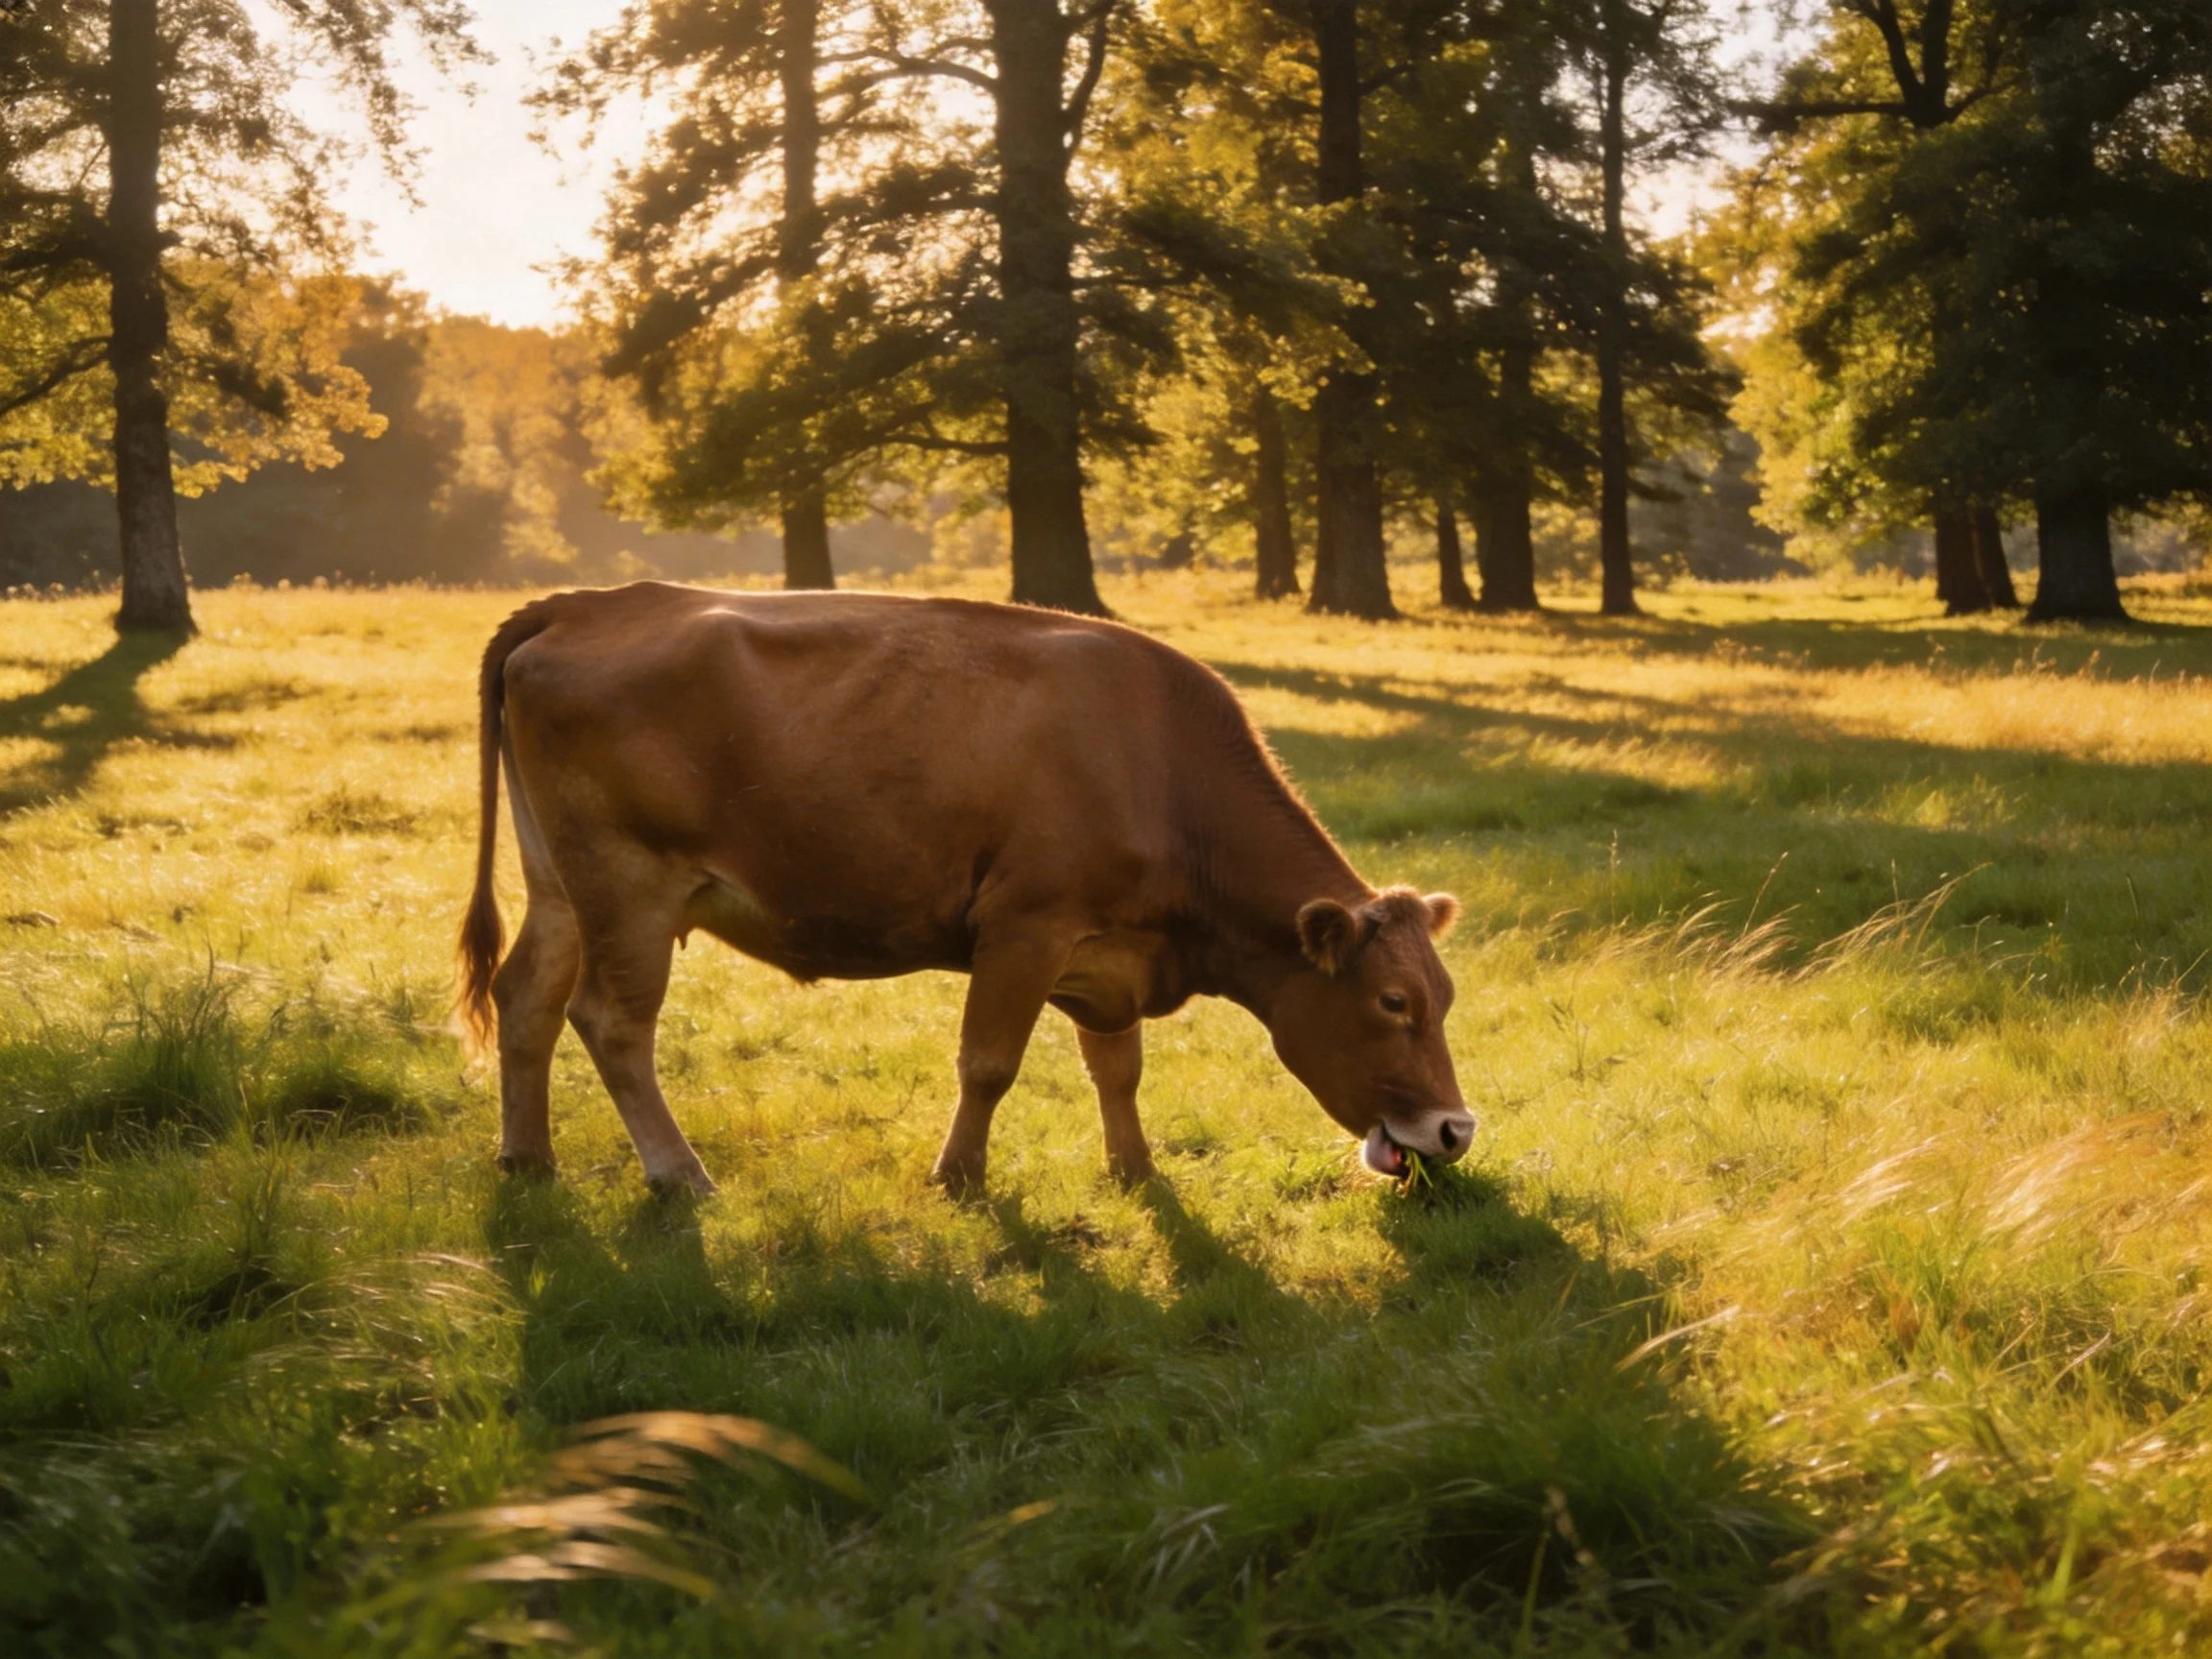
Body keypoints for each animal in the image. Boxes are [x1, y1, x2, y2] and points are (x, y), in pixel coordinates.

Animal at [457, 583, 1474, 1197]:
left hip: (560, 884)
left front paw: (1135, 1171)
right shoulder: (1026, 927)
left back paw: (527, 1159)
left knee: (527, 997)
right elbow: (989, 1063)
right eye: (1394, 1001)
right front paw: (959, 1177)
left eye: (1446, 996)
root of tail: (589, 605)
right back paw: (679, 1175)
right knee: (613, 1022)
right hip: (628, 883)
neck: (1159, 768)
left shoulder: (1108, 952)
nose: (1455, 1129)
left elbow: (1118, 1069)